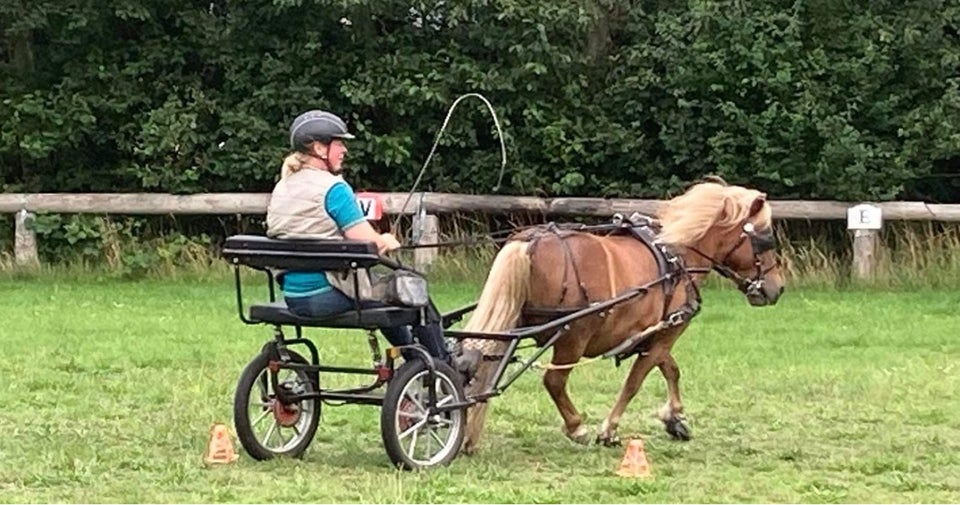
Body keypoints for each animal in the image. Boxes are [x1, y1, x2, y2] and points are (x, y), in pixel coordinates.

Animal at [460, 181, 788, 452]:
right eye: (766, 239)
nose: (777, 288)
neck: (679, 257)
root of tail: (530, 240)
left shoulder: (655, 334)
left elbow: (671, 369)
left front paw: (675, 418)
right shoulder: (668, 333)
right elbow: (635, 382)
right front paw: (609, 430)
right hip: (572, 338)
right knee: (554, 380)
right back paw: (576, 427)